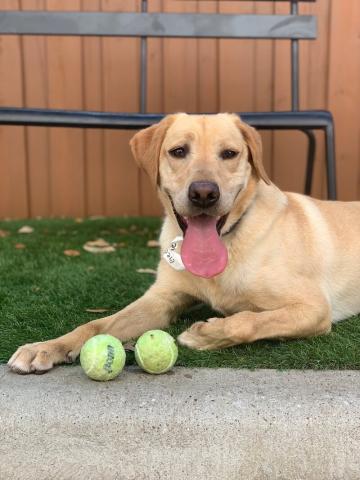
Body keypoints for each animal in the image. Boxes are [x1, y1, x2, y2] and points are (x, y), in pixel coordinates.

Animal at [7, 113, 360, 376]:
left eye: (229, 153)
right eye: (178, 151)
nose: (204, 193)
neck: (229, 243)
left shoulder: (314, 308)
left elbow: (250, 320)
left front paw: (207, 333)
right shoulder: (161, 299)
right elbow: (95, 325)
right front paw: (46, 346)